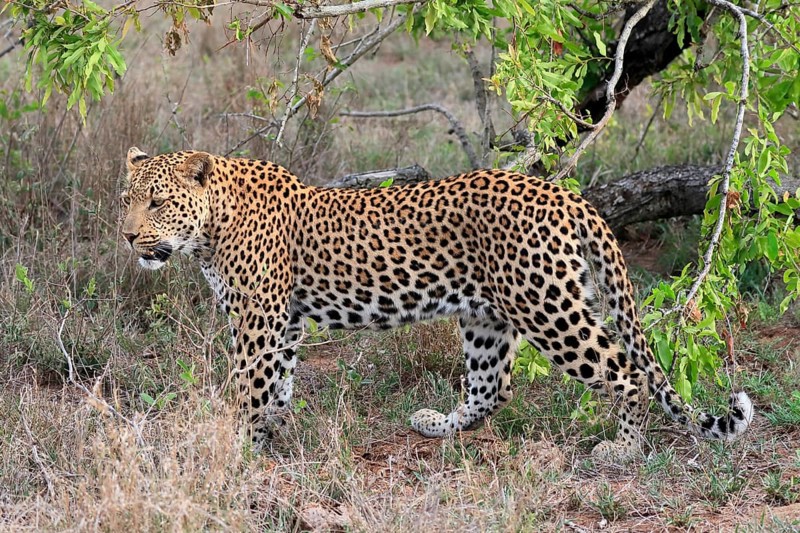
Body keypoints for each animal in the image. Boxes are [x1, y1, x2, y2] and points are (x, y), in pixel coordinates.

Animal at [119, 147, 753, 459]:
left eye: (158, 203)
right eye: (126, 199)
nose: (127, 236)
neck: (211, 226)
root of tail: (564, 194)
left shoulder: (260, 318)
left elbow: (248, 387)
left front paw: (236, 450)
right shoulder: (282, 321)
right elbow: (276, 385)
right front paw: (267, 436)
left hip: (546, 305)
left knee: (626, 373)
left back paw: (622, 449)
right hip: (486, 315)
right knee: (492, 388)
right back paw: (436, 425)